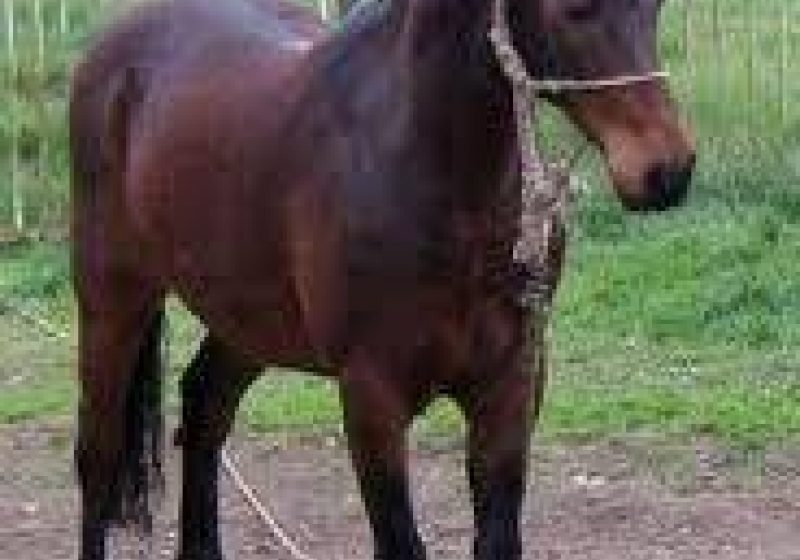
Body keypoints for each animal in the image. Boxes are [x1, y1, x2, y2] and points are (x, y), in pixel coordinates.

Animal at [69, 0, 695, 558]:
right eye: (575, 9)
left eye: (656, 6)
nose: (668, 171)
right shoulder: (372, 393)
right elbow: (400, 543)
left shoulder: (512, 381)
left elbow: (499, 538)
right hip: (113, 304)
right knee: (97, 457)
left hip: (250, 323)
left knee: (204, 411)